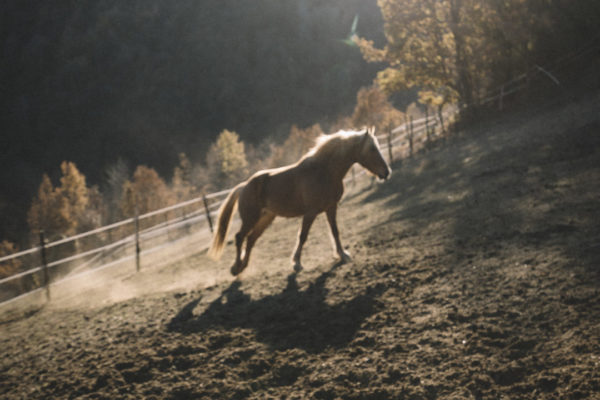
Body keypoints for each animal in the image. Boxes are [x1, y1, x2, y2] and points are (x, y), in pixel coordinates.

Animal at [209, 128, 392, 276]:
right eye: (372, 148)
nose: (386, 172)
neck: (324, 171)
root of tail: (243, 186)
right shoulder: (310, 213)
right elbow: (303, 236)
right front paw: (296, 264)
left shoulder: (331, 208)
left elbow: (335, 231)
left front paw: (343, 255)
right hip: (250, 219)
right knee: (240, 237)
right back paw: (236, 268)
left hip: (265, 218)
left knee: (251, 239)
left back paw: (242, 266)